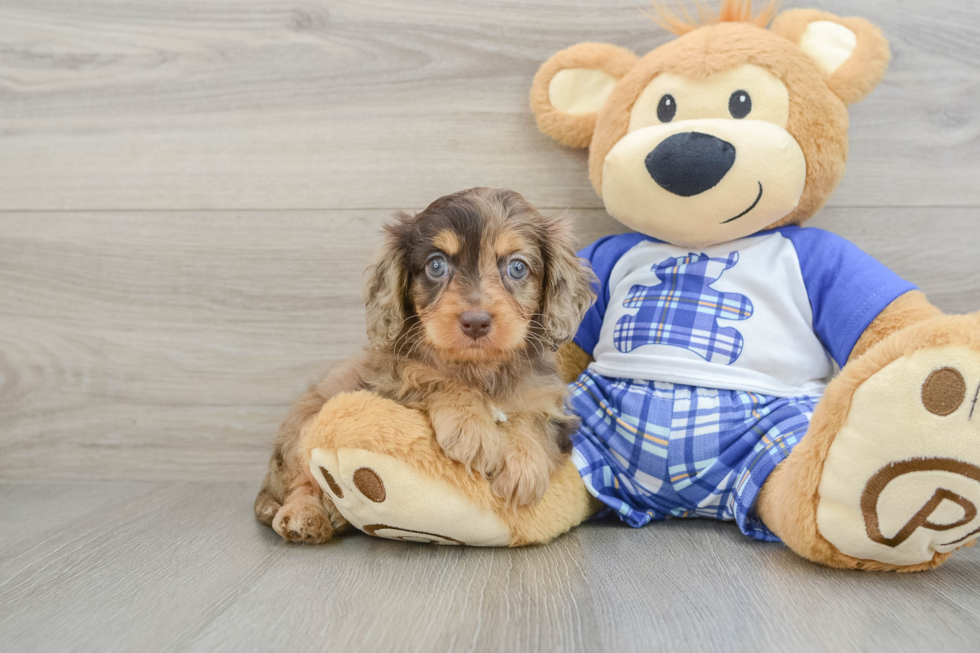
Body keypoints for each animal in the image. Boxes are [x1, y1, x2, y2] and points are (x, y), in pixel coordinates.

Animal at [253, 186, 592, 544]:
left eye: (517, 268)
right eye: (436, 265)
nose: (476, 322)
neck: (479, 368)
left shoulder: (550, 402)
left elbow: (534, 419)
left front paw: (523, 465)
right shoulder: (388, 382)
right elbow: (432, 379)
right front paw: (472, 427)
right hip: (303, 431)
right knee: (302, 482)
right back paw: (306, 515)